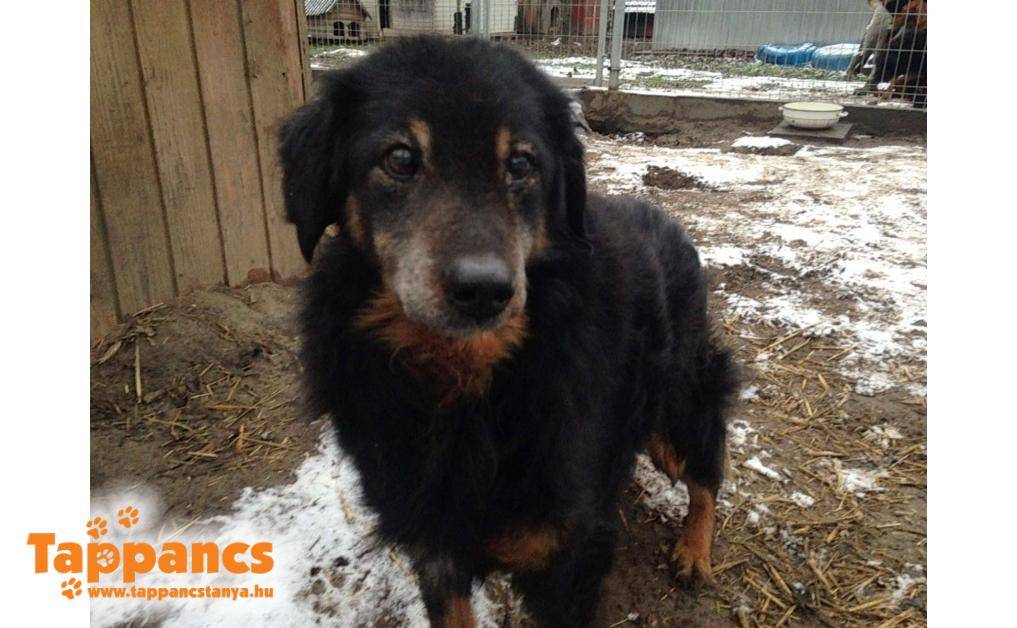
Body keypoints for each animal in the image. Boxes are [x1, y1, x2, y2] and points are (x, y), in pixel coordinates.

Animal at [279, 36, 737, 627]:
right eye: (400, 159)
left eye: (521, 163)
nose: (483, 290)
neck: (466, 383)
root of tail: (669, 220)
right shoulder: (434, 545)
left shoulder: (566, 561)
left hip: (679, 402)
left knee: (707, 469)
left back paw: (694, 550)